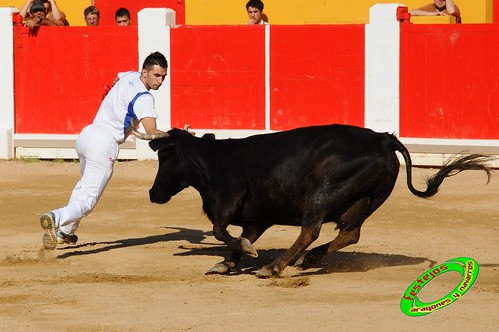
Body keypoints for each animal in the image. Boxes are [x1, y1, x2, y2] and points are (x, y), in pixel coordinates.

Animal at [146, 124, 490, 278]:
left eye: (165, 156)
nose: (153, 194)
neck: (214, 161)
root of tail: (382, 138)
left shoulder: (228, 203)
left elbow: (221, 230)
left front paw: (247, 256)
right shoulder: (257, 217)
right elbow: (239, 237)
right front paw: (226, 262)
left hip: (323, 194)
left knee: (310, 230)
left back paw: (275, 266)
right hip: (366, 201)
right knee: (350, 233)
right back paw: (307, 259)